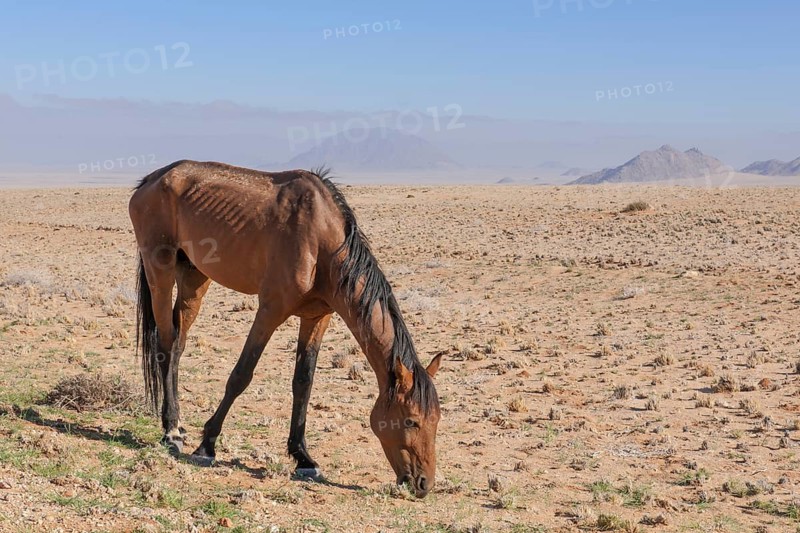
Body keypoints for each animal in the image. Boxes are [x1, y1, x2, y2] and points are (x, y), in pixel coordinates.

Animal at [128, 160, 442, 497]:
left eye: (436, 419)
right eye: (411, 421)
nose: (424, 484)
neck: (321, 240)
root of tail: (151, 180)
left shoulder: (317, 317)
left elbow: (303, 382)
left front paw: (303, 456)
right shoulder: (271, 310)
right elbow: (241, 375)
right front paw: (207, 445)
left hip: (194, 276)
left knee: (178, 344)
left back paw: (177, 424)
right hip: (160, 270)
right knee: (165, 343)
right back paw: (171, 431)